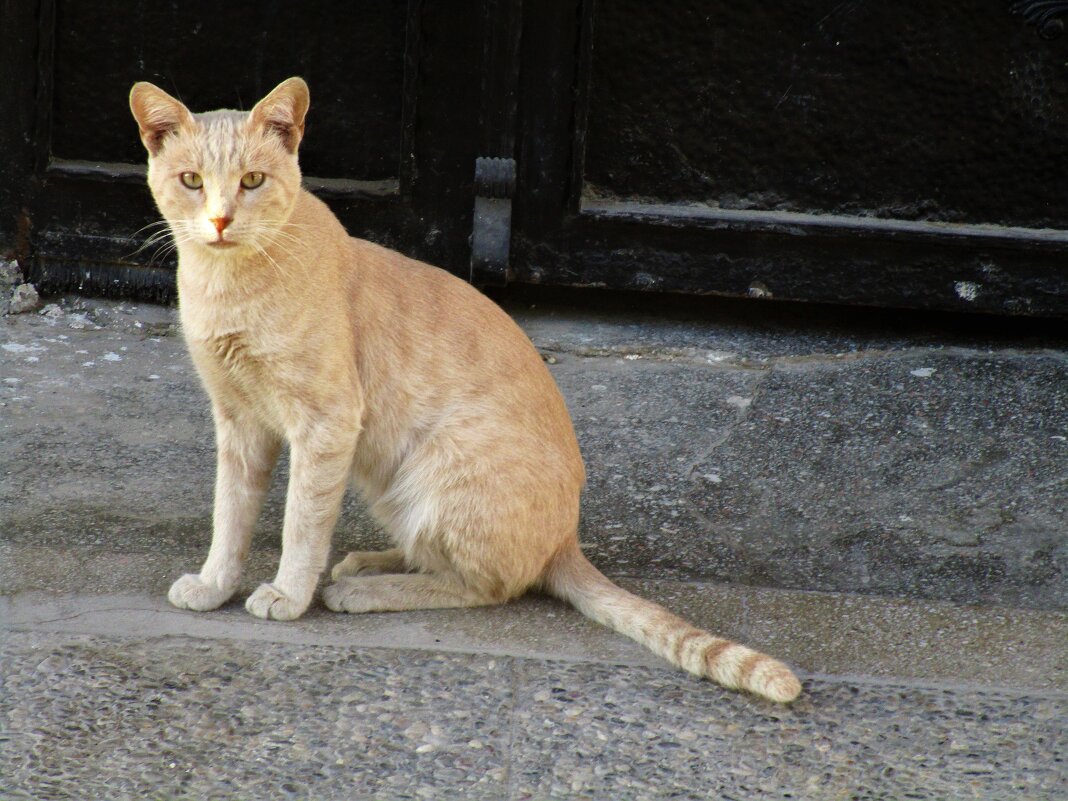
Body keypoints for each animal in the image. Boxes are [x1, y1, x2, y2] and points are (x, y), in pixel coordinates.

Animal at [127, 75, 803, 700]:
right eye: (192, 181)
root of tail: (567, 538)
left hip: (438, 466)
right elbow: (230, 514)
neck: (227, 285)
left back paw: (362, 590)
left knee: (488, 586)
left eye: (252, 181)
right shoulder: (240, 422)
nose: (219, 219)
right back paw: (367, 563)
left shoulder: (326, 424)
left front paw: (289, 594)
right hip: (391, 481)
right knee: (444, 559)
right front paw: (215, 583)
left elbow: (301, 522)